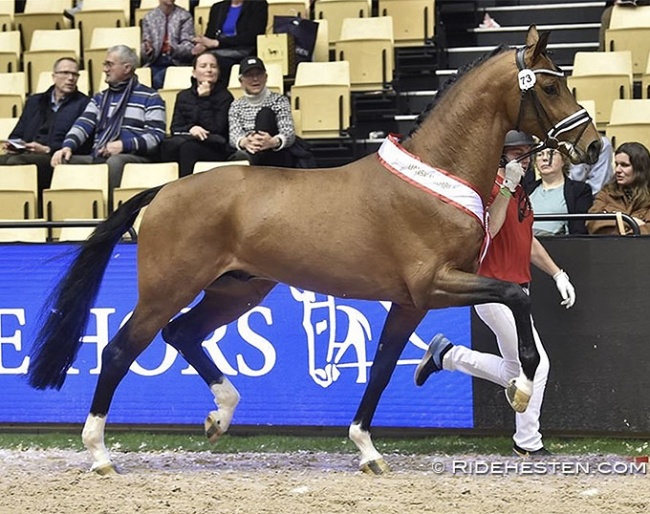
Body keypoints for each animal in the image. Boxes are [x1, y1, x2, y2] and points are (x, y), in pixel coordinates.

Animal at [26, 27, 596, 476]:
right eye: (550, 84)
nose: (591, 145)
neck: (437, 176)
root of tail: (165, 189)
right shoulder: (435, 283)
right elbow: (516, 293)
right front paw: (521, 385)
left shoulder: (412, 301)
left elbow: (383, 365)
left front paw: (367, 449)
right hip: (168, 289)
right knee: (120, 350)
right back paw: (100, 454)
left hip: (238, 291)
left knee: (182, 333)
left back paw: (220, 414)